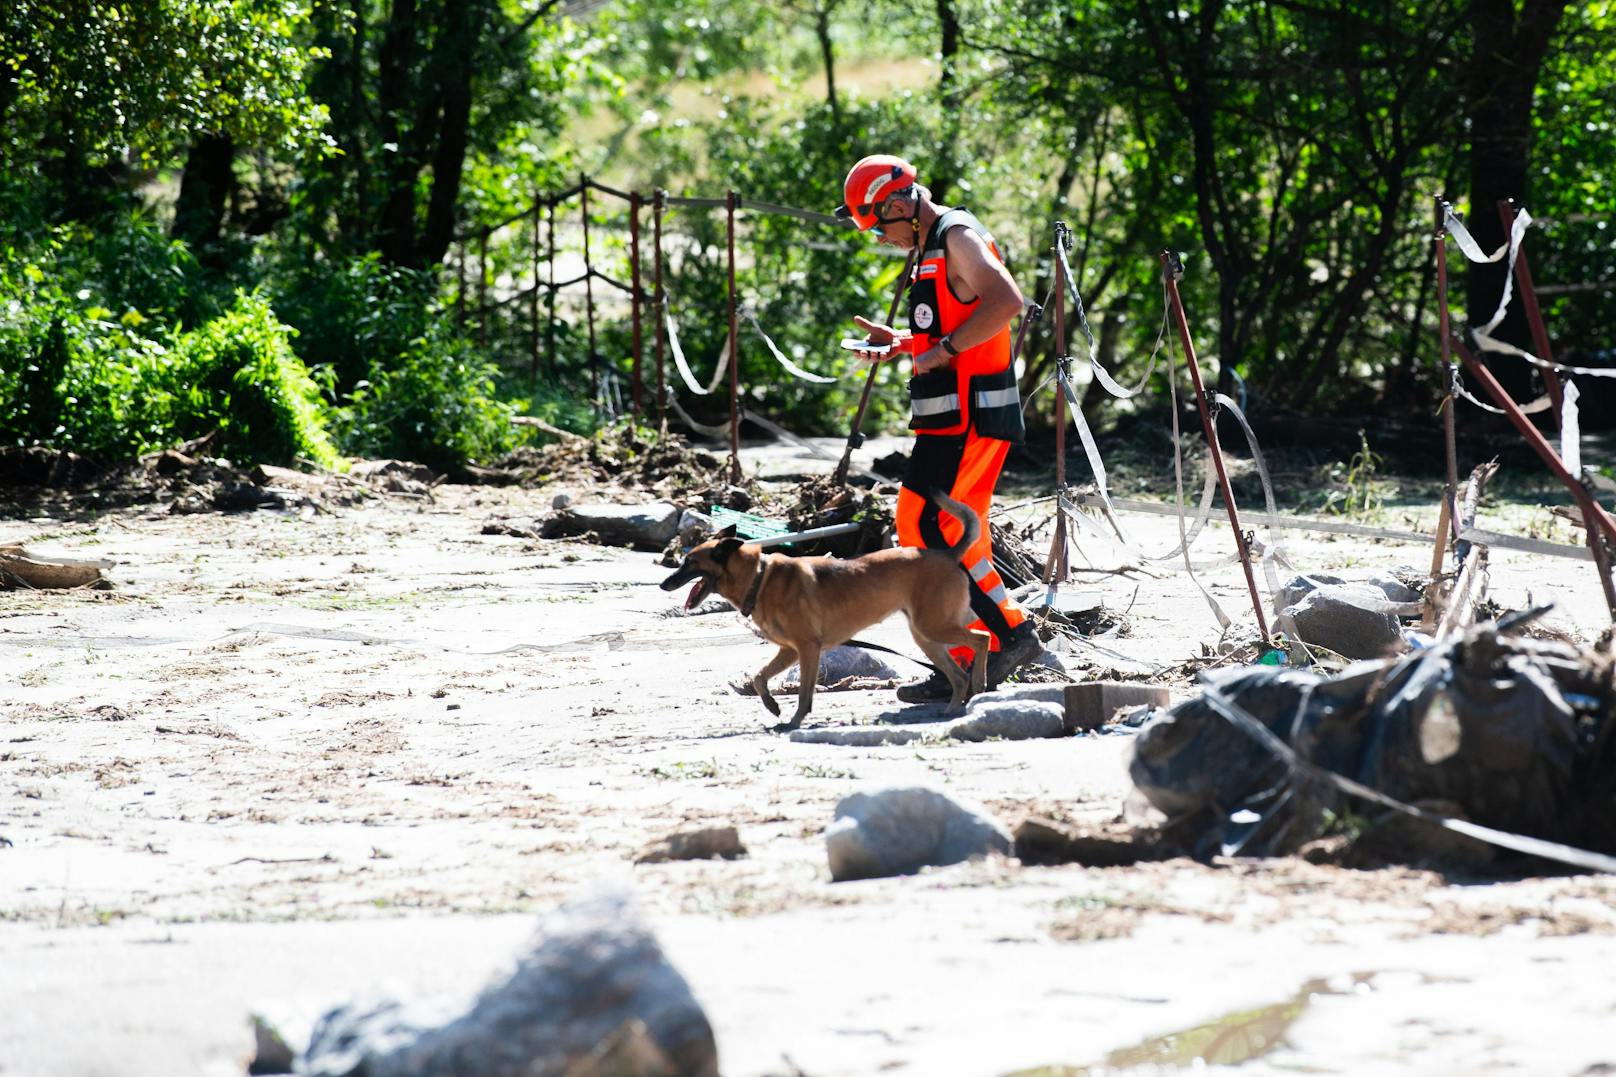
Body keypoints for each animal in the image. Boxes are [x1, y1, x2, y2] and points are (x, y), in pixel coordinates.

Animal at [659, 491, 988, 730]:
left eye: (689, 562)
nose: (663, 583)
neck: (758, 578)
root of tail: (948, 555)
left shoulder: (807, 649)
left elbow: (804, 693)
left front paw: (794, 722)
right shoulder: (789, 651)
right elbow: (759, 677)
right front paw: (772, 706)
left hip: (934, 627)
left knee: (981, 638)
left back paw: (980, 683)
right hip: (926, 636)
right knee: (958, 675)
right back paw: (953, 706)